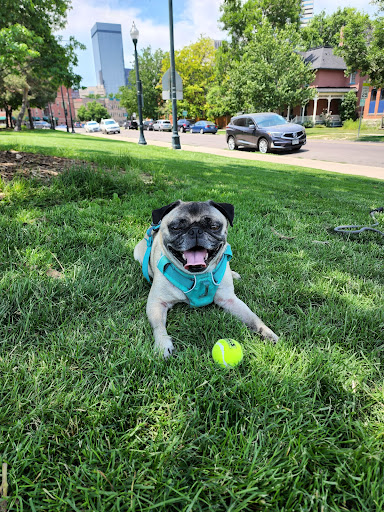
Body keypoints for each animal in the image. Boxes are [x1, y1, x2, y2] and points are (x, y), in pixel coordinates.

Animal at [135, 199, 280, 356]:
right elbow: (158, 326)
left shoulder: (229, 300)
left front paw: (267, 333)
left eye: (214, 226)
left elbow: (252, 317)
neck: (198, 276)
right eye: (176, 227)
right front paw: (162, 345)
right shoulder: (157, 303)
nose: (195, 231)